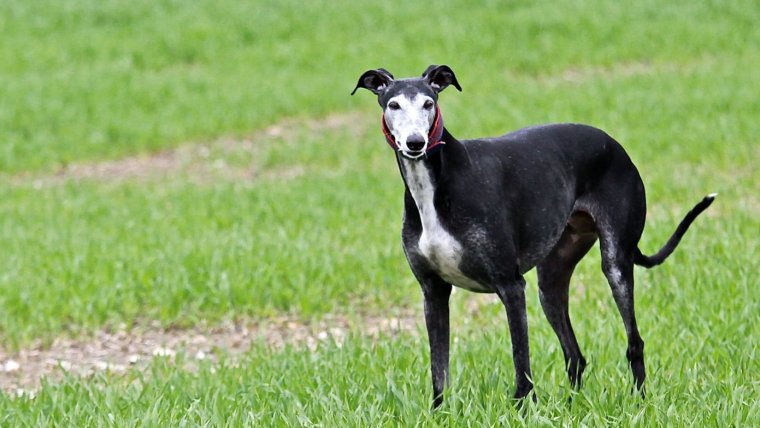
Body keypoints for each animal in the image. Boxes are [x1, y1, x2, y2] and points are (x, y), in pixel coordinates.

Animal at [354, 65, 716, 406]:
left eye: (429, 103)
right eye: (394, 105)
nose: (415, 142)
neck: (436, 185)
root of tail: (616, 147)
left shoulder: (511, 286)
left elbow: (521, 364)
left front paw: (523, 409)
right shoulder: (433, 292)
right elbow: (439, 371)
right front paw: (439, 413)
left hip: (615, 262)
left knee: (634, 342)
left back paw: (638, 401)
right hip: (551, 283)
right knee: (575, 355)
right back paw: (572, 406)